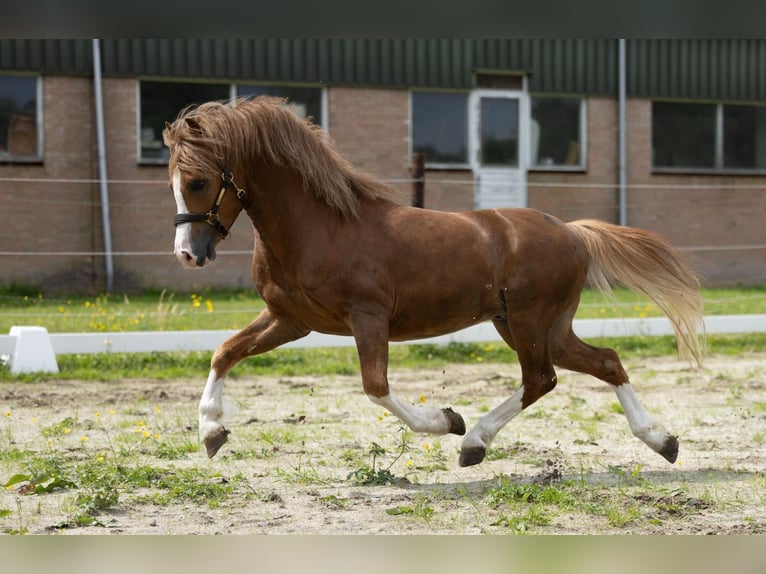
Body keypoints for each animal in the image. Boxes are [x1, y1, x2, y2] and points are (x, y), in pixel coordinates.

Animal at [163, 96, 704, 468]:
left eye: (198, 181)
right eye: (173, 181)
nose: (189, 254)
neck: (320, 227)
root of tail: (572, 231)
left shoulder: (367, 317)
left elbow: (376, 386)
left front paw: (447, 420)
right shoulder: (290, 319)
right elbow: (224, 352)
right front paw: (211, 433)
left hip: (530, 322)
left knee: (542, 378)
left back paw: (473, 440)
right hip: (536, 325)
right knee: (601, 363)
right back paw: (663, 441)